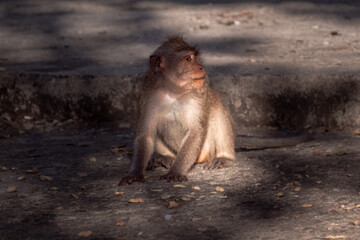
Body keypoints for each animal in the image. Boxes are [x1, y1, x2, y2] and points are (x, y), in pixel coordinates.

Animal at [119, 35, 235, 186]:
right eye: (188, 59)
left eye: (196, 56)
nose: (201, 67)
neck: (174, 91)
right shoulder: (148, 93)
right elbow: (146, 134)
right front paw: (135, 173)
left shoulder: (199, 92)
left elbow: (195, 132)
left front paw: (175, 172)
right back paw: (164, 157)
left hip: (207, 149)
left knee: (217, 110)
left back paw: (225, 158)